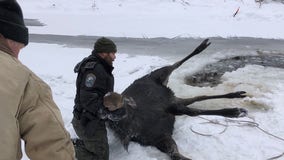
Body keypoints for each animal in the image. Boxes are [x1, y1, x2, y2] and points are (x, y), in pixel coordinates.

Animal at [103, 39, 246, 160]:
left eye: (117, 105)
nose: (112, 116)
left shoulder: (167, 109)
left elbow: (194, 112)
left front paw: (235, 111)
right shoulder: (160, 137)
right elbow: (176, 154)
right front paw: (235, 111)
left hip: (160, 76)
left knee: (175, 64)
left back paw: (201, 46)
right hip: (175, 99)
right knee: (197, 97)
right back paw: (236, 95)